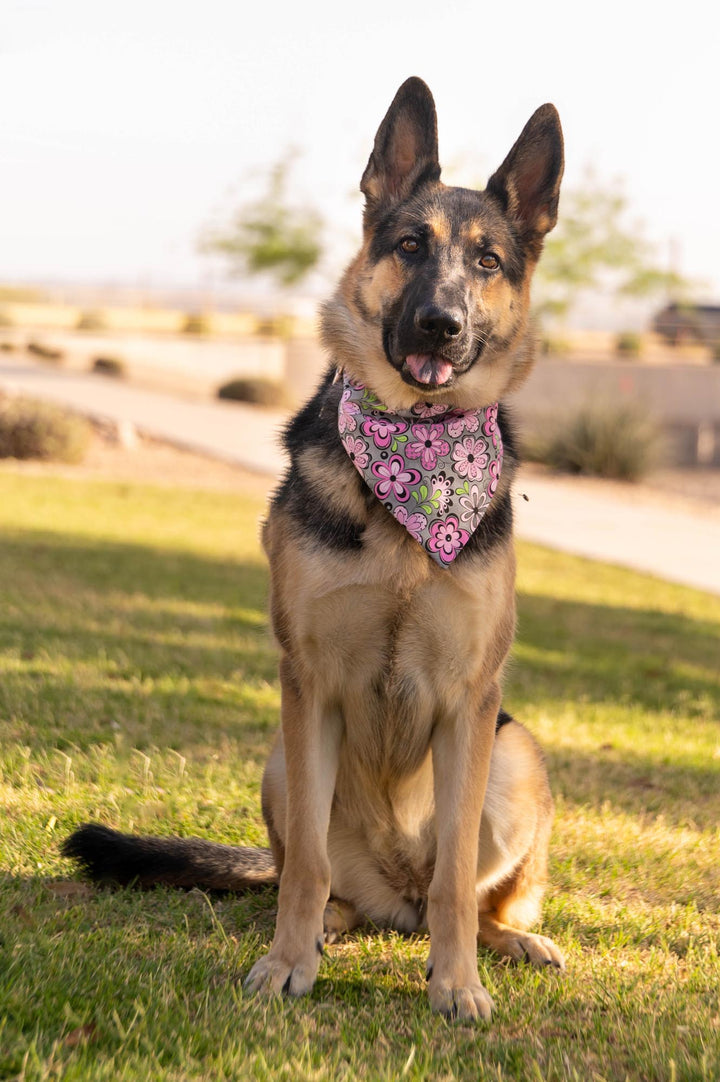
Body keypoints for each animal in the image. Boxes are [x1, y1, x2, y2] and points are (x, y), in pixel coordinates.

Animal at [64, 80, 563, 1017]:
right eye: (410, 246)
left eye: (488, 262)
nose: (439, 325)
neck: (414, 462)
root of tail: (394, 901)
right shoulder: (309, 685)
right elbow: (304, 865)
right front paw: (286, 963)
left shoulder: (471, 703)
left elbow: (457, 883)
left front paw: (458, 984)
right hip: (278, 757)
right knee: (316, 872)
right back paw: (331, 924)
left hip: (516, 752)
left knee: (467, 894)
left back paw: (506, 941)